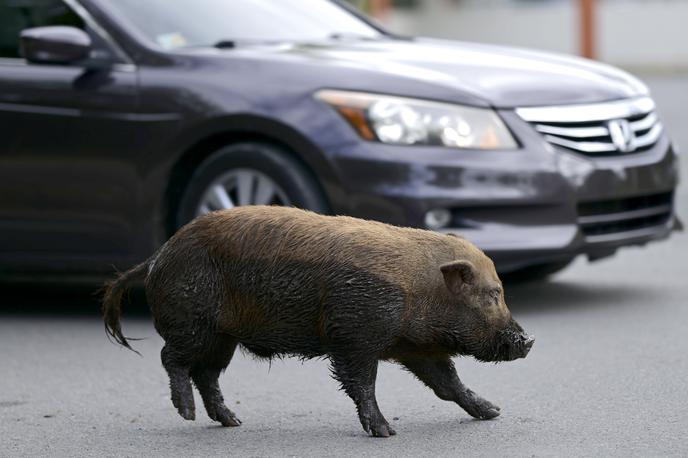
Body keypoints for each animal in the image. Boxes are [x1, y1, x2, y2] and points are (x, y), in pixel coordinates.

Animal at [101, 207, 532, 436]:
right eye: (492, 295)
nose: (528, 341)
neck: (419, 290)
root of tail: (157, 257)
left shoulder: (417, 348)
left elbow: (448, 384)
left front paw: (493, 412)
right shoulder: (355, 336)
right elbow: (362, 385)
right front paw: (386, 433)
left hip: (222, 337)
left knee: (206, 374)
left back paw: (234, 422)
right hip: (192, 323)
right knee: (170, 359)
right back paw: (188, 414)